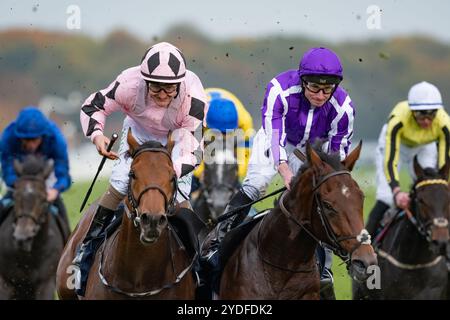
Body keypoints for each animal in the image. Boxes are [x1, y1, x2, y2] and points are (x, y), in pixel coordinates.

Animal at [0, 156, 68, 300]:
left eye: (43, 199)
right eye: (15, 196)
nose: (22, 238)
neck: (28, 256)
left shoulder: (46, 283)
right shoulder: (5, 283)